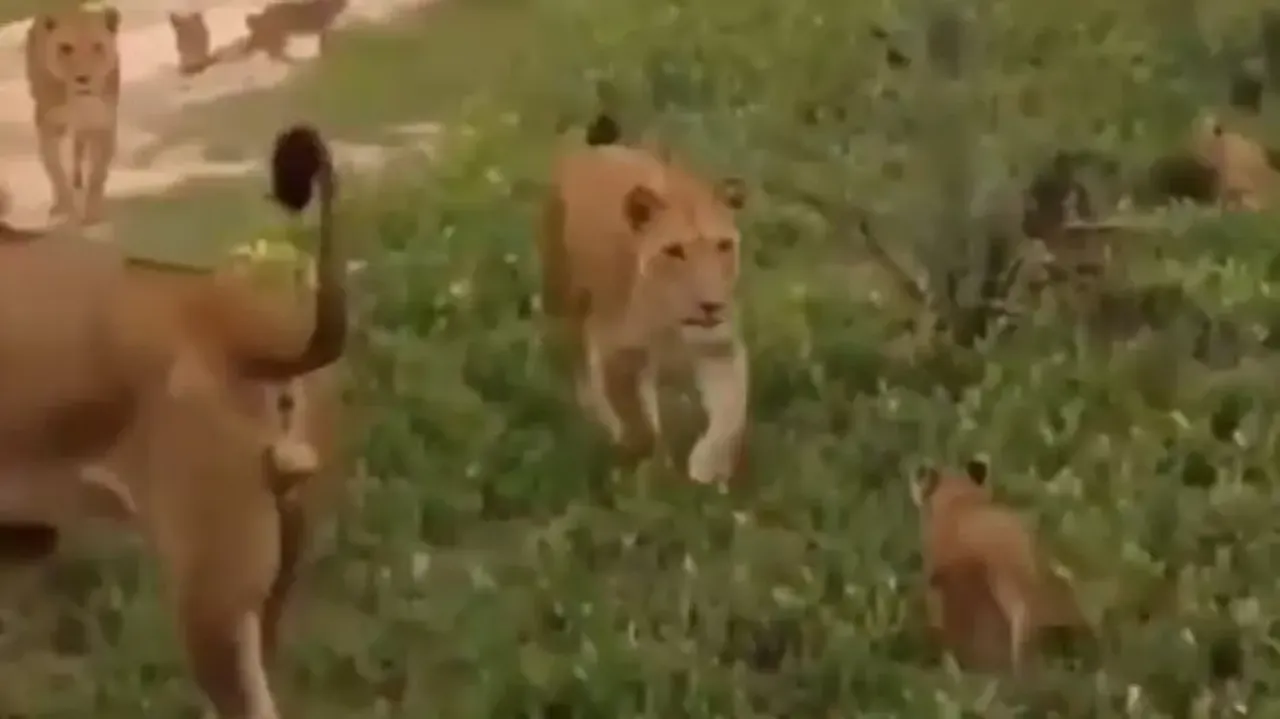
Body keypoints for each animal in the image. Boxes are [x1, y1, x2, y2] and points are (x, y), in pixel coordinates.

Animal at [25, 7, 121, 225]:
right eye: (66, 48)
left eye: (97, 46)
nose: (83, 78)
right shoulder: (48, 126)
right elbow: (55, 172)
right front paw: (66, 209)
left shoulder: (102, 126)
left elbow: (98, 174)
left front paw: (92, 213)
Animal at [539, 113, 749, 484]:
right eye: (674, 251)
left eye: (723, 246)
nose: (711, 305)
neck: (672, 321)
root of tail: (594, 150)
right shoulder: (616, 351)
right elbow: (637, 423)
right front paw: (648, 462)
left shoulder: (720, 347)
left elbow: (731, 414)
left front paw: (706, 471)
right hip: (565, 305)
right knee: (581, 376)